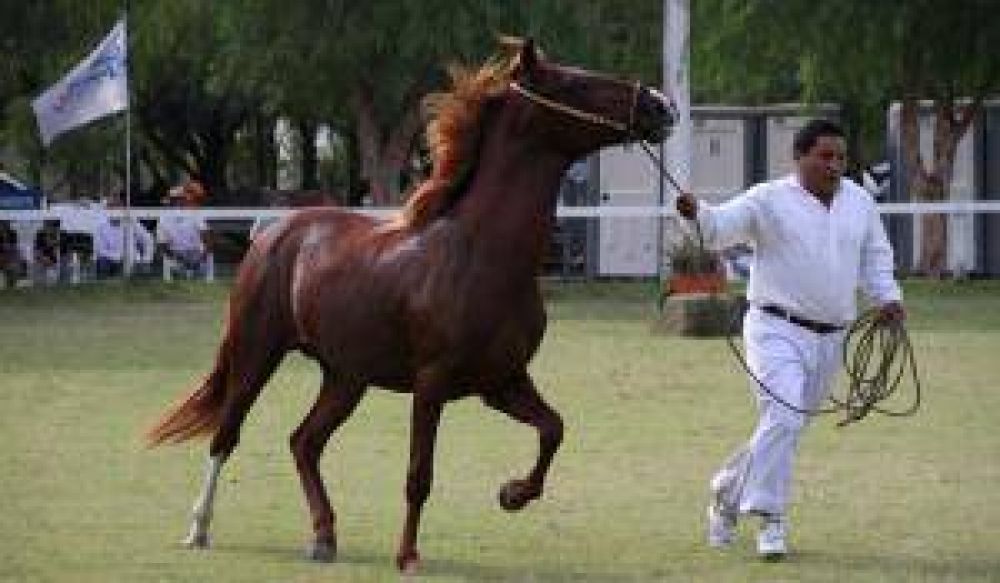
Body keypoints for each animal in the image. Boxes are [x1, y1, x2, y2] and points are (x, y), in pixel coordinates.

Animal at [146, 38, 676, 574]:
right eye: (571, 82)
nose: (661, 107)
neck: (481, 255)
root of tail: (272, 233)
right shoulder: (432, 383)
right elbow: (419, 474)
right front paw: (408, 555)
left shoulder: (501, 381)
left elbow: (554, 429)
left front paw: (511, 494)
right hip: (257, 354)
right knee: (227, 435)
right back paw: (198, 530)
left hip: (345, 376)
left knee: (304, 442)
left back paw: (324, 538)